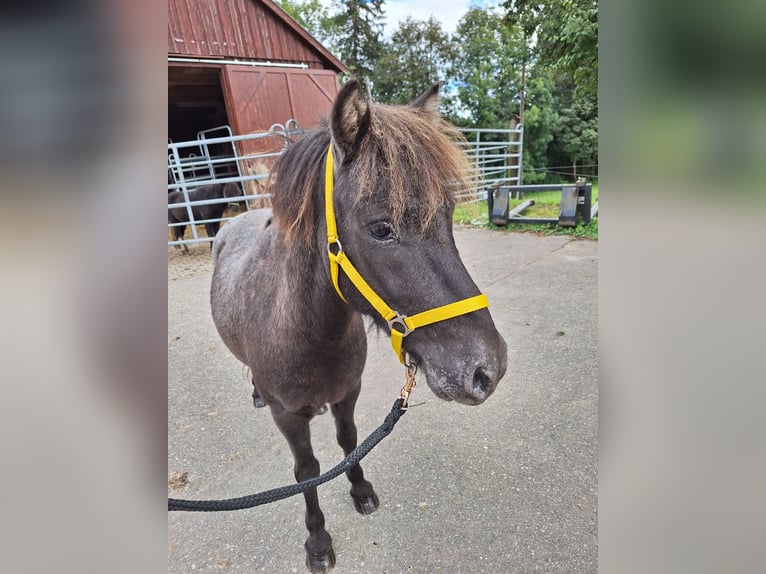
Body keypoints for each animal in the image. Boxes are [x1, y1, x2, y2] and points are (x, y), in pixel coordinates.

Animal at [210, 81, 510, 574]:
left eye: (447, 215)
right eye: (382, 228)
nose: (488, 369)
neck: (309, 335)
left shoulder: (347, 393)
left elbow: (349, 441)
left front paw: (360, 490)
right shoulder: (288, 417)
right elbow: (307, 473)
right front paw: (317, 541)